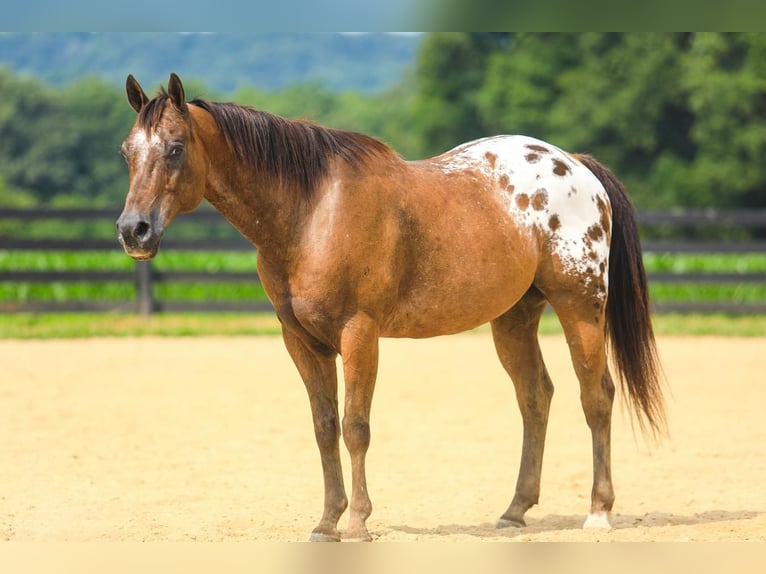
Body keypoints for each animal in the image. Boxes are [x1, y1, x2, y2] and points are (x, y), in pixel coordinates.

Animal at [115, 74, 664, 544]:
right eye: (127, 151)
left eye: (176, 148)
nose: (133, 230)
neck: (312, 212)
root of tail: (577, 166)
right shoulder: (301, 341)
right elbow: (324, 427)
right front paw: (327, 522)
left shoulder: (358, 333)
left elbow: (356, 427)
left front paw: (358, 521)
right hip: (513, 318)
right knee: (535, 397)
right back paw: (514, 511)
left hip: (580, 307)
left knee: (596, 397)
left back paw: (598, 511)